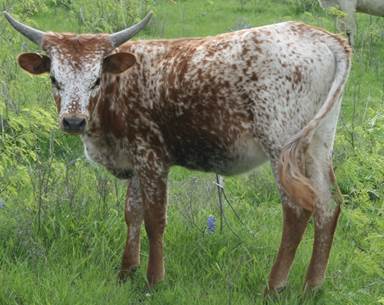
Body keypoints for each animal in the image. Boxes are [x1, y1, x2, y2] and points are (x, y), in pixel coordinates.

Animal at [3, 11, 352, 292]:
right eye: (54, 78)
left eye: (96, 79)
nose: (73, 121)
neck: (120, 87)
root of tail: (320, 35)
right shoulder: (135, 160)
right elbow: (132, 213)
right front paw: (125, 273)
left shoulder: (152, 157)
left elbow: (154, 219)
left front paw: (154, 280)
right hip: (318, 143)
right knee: (328, 204)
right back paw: (312, 286)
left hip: (281, 145)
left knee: (297, 210)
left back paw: (274, 286)